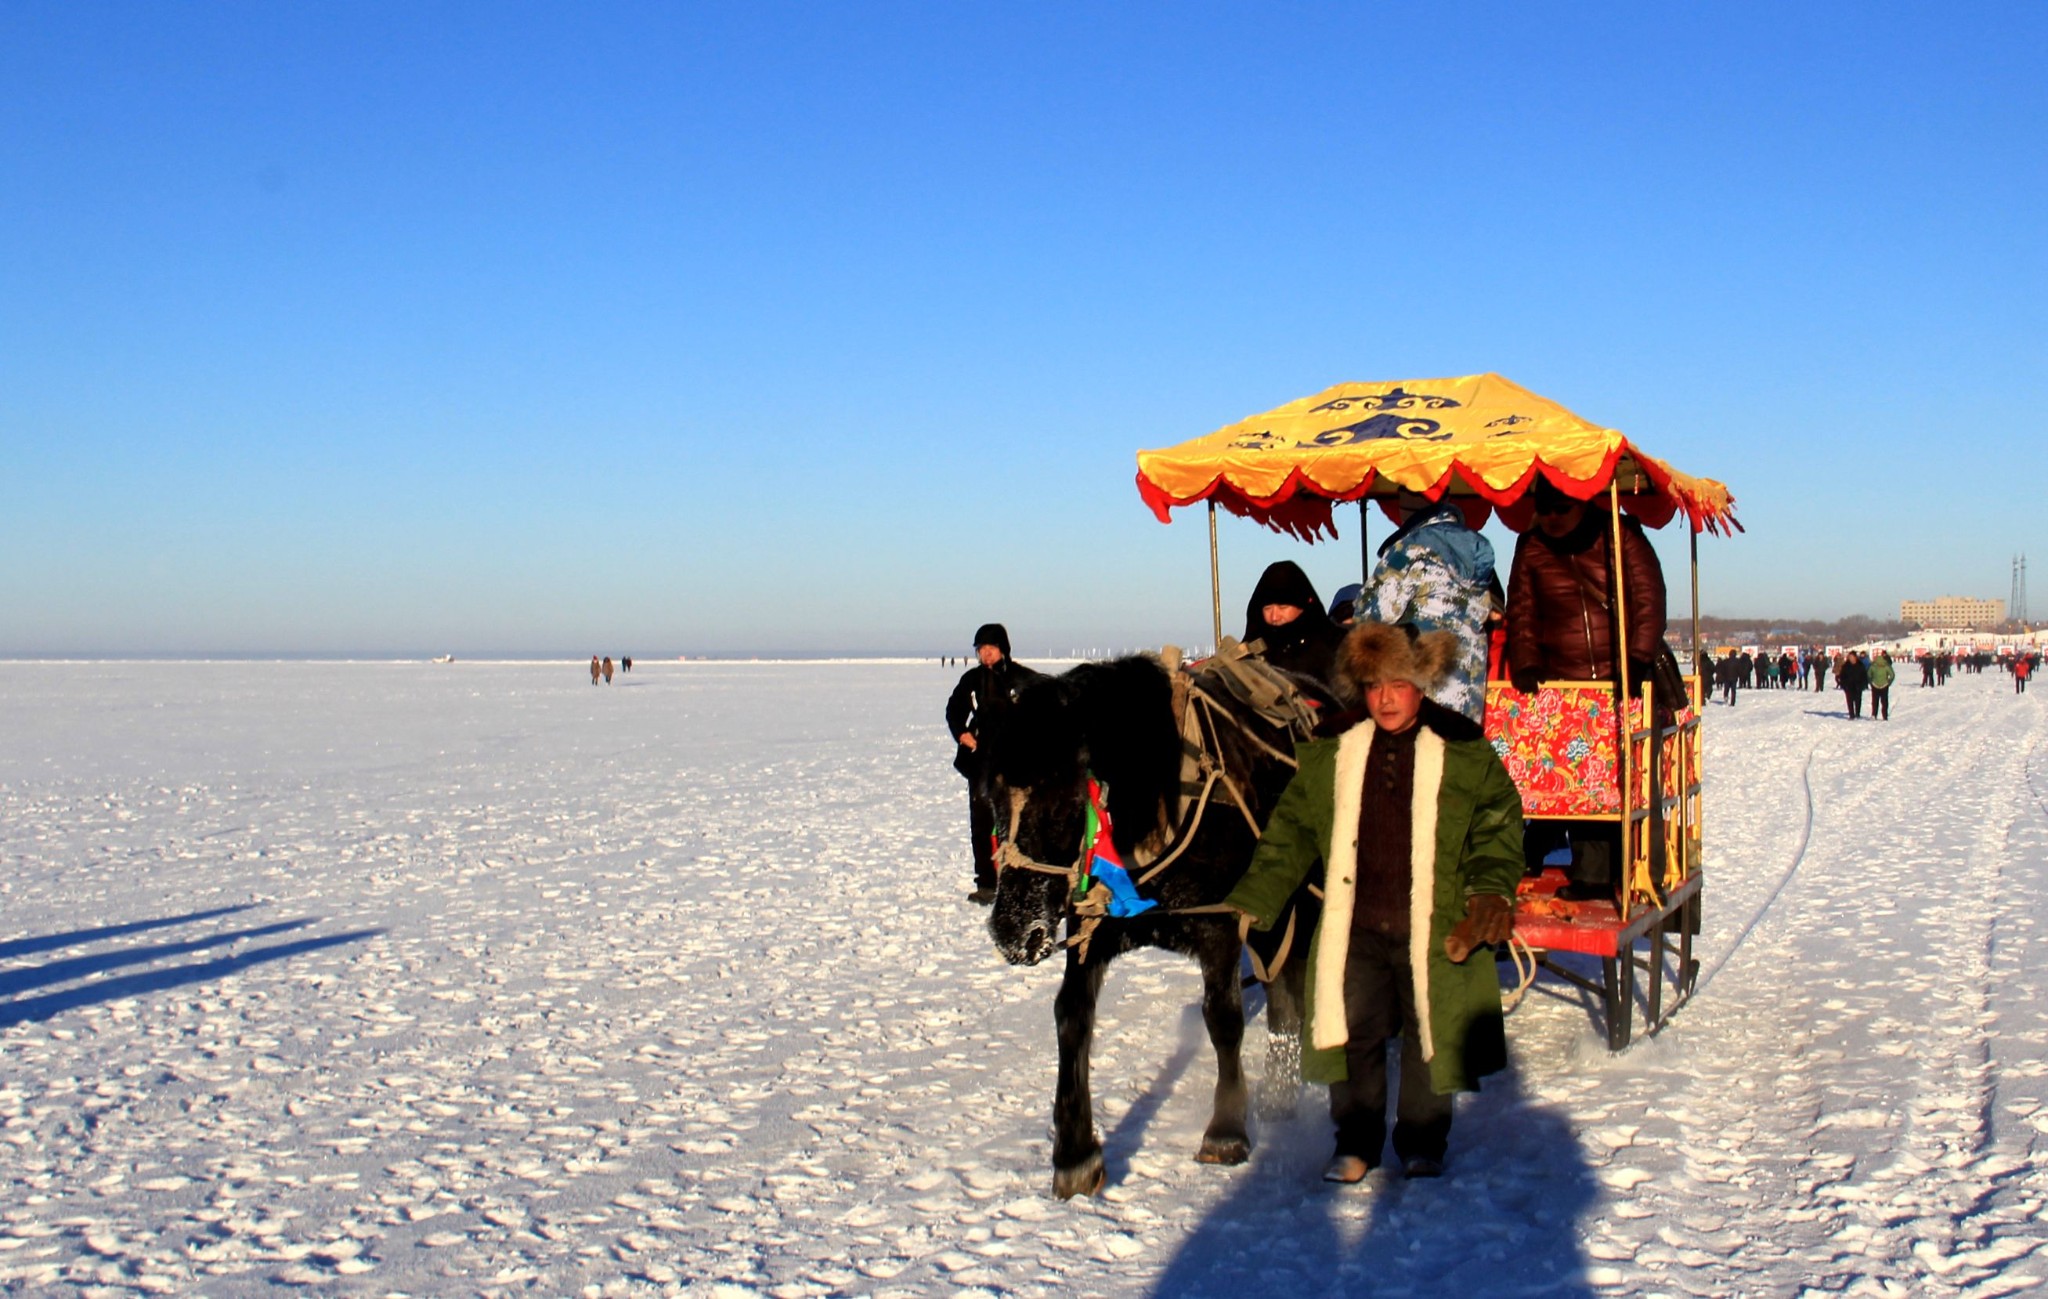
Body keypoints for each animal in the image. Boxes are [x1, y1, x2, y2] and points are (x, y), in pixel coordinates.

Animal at [978, 651, 1327, 1196]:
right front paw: (1075, 1154)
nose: (1012, 931)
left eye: (1062, 803)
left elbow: (1222, 1018)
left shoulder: (1222, 923)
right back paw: (1280, 1093)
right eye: (988, 796)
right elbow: (1071, 1018)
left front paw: (1226, 1130)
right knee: (1282, 981)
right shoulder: (1092, 927)